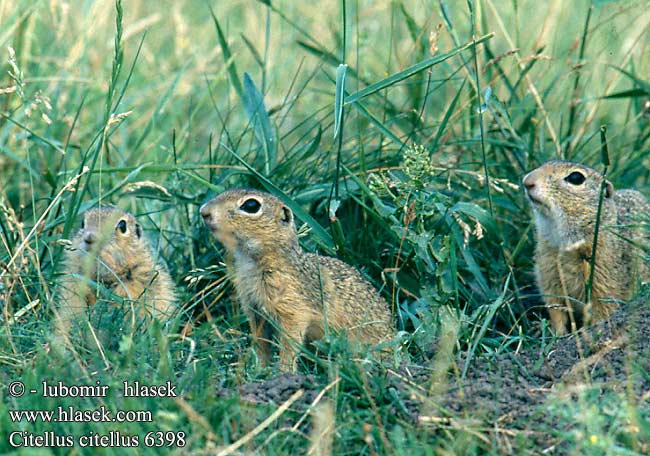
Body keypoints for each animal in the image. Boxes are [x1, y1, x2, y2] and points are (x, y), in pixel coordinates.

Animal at [200, 189, 394, 370]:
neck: (252, 261)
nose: (203, 211)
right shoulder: (255, 311)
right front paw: (261, 370)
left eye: (251, 205)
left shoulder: (292, 309)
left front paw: (284, 372)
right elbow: (261, 342)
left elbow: (289, 343)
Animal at [524, 160, 644, 334]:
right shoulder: (548, 272)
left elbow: (603, 311)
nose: (527, 181)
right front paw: (558, 335)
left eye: (576, 177)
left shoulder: (603, 281)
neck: (563, 243)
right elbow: (556, 310)